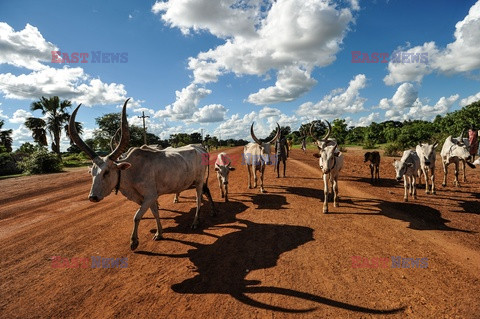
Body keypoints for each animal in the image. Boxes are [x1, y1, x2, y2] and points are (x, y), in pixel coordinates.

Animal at [69, 99, 216, 251]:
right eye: (91, 173)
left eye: (106, 172)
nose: (92, 197)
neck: (132, 171)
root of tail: (200, 149)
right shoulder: (147, 198)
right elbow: (155, 212)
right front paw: (159, 233)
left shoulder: (150, 196)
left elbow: (136, 217)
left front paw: (134, 241)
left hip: (199, 181)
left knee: (199, 199)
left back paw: (196, 221)